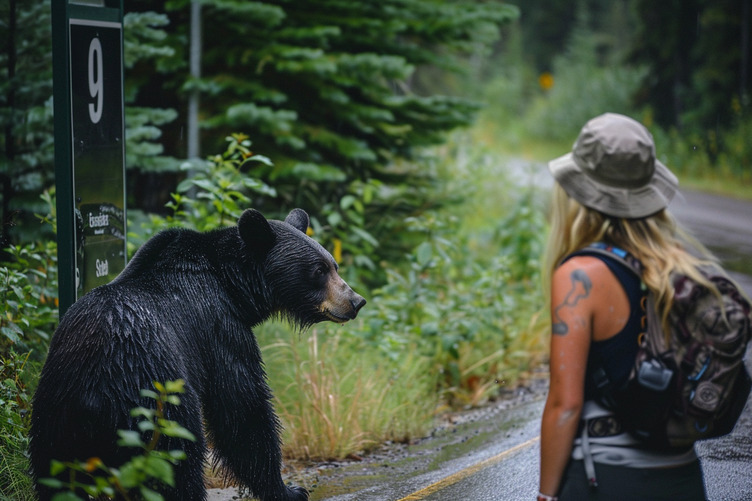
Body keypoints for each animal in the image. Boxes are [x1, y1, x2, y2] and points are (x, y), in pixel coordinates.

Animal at [29, 208, 366, 501]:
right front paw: (288, 489)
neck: (231, 285)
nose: (356, 301)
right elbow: (241, 405)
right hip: (155, 401)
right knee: (176, 462)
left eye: (334, 265)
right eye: (319, 270)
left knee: (54, 478)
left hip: (53, 418)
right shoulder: (219, 327)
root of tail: (94, 392)